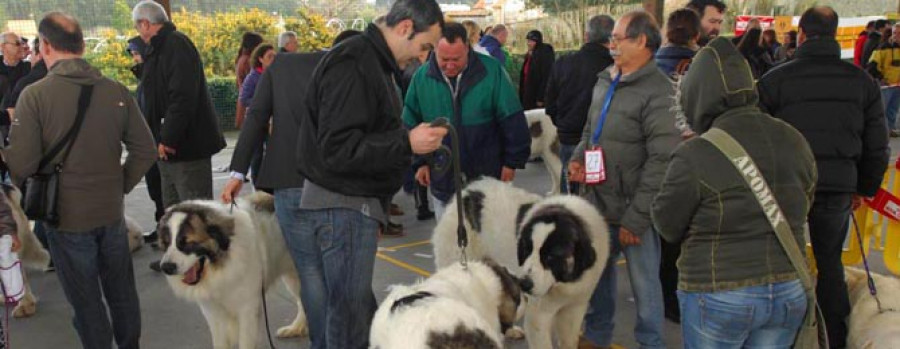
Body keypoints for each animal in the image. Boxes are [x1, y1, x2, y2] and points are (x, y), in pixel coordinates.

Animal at [156, 192, 308, 346]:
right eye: (166, 243)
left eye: (186, 243)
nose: (165, 267)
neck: (222, 266)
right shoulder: (213, 313)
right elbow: (220, 342)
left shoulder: (247, 309)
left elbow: (245, 342)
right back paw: (295, 328)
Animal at [430, 178, 612, 346]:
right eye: (526, 250)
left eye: (550, 257)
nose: (524, 284)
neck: (564, 283)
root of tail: (467, 192)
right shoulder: (538, 318)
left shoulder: (575, 306)